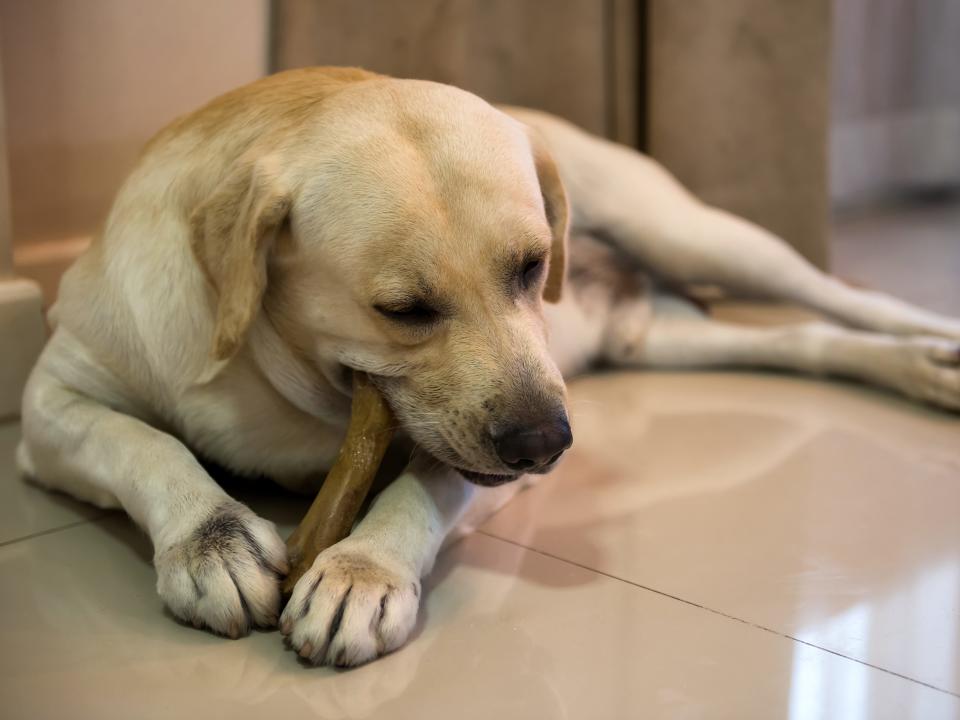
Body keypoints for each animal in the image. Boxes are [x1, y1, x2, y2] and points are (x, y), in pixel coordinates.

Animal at [18, 67, 960, 664]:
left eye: (532, 267)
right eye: (403, 310)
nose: (549, 444)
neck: (281, 372)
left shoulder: (481, 449)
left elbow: (424, 487)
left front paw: (363, 569)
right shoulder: (55, 397)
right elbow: (143, 443)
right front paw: (208, 538)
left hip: (701, 236)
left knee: (851, 301)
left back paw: (937, 346)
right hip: (661, 337)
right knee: (807, 339)